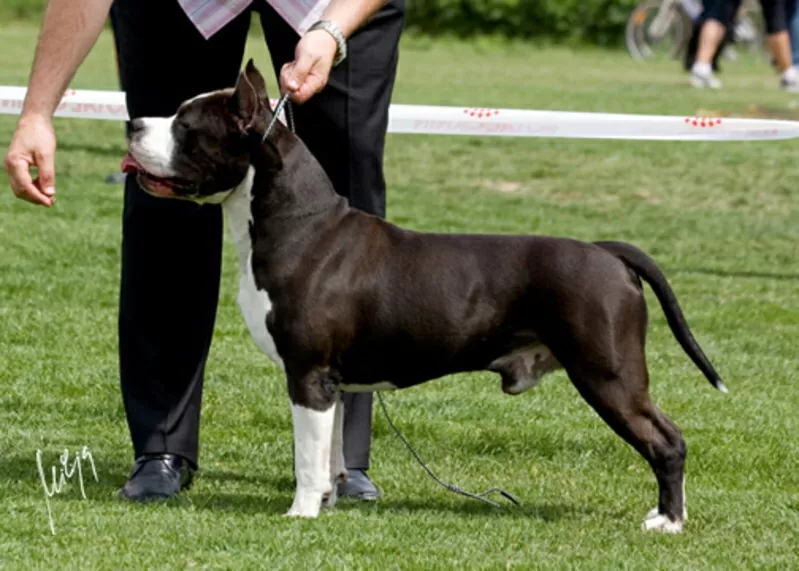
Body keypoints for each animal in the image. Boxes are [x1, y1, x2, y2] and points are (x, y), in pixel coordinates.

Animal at [122, 61, 728, 532]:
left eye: (186, 125)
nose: (132, 122)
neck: (296, 224)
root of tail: (606, 252)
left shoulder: (308, 375)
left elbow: (307, 456)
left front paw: (301, 513)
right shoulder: (333, 382)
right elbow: (332, 450)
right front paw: (328, 502)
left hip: (609, 374)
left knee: (667, 440)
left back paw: (668, 520)